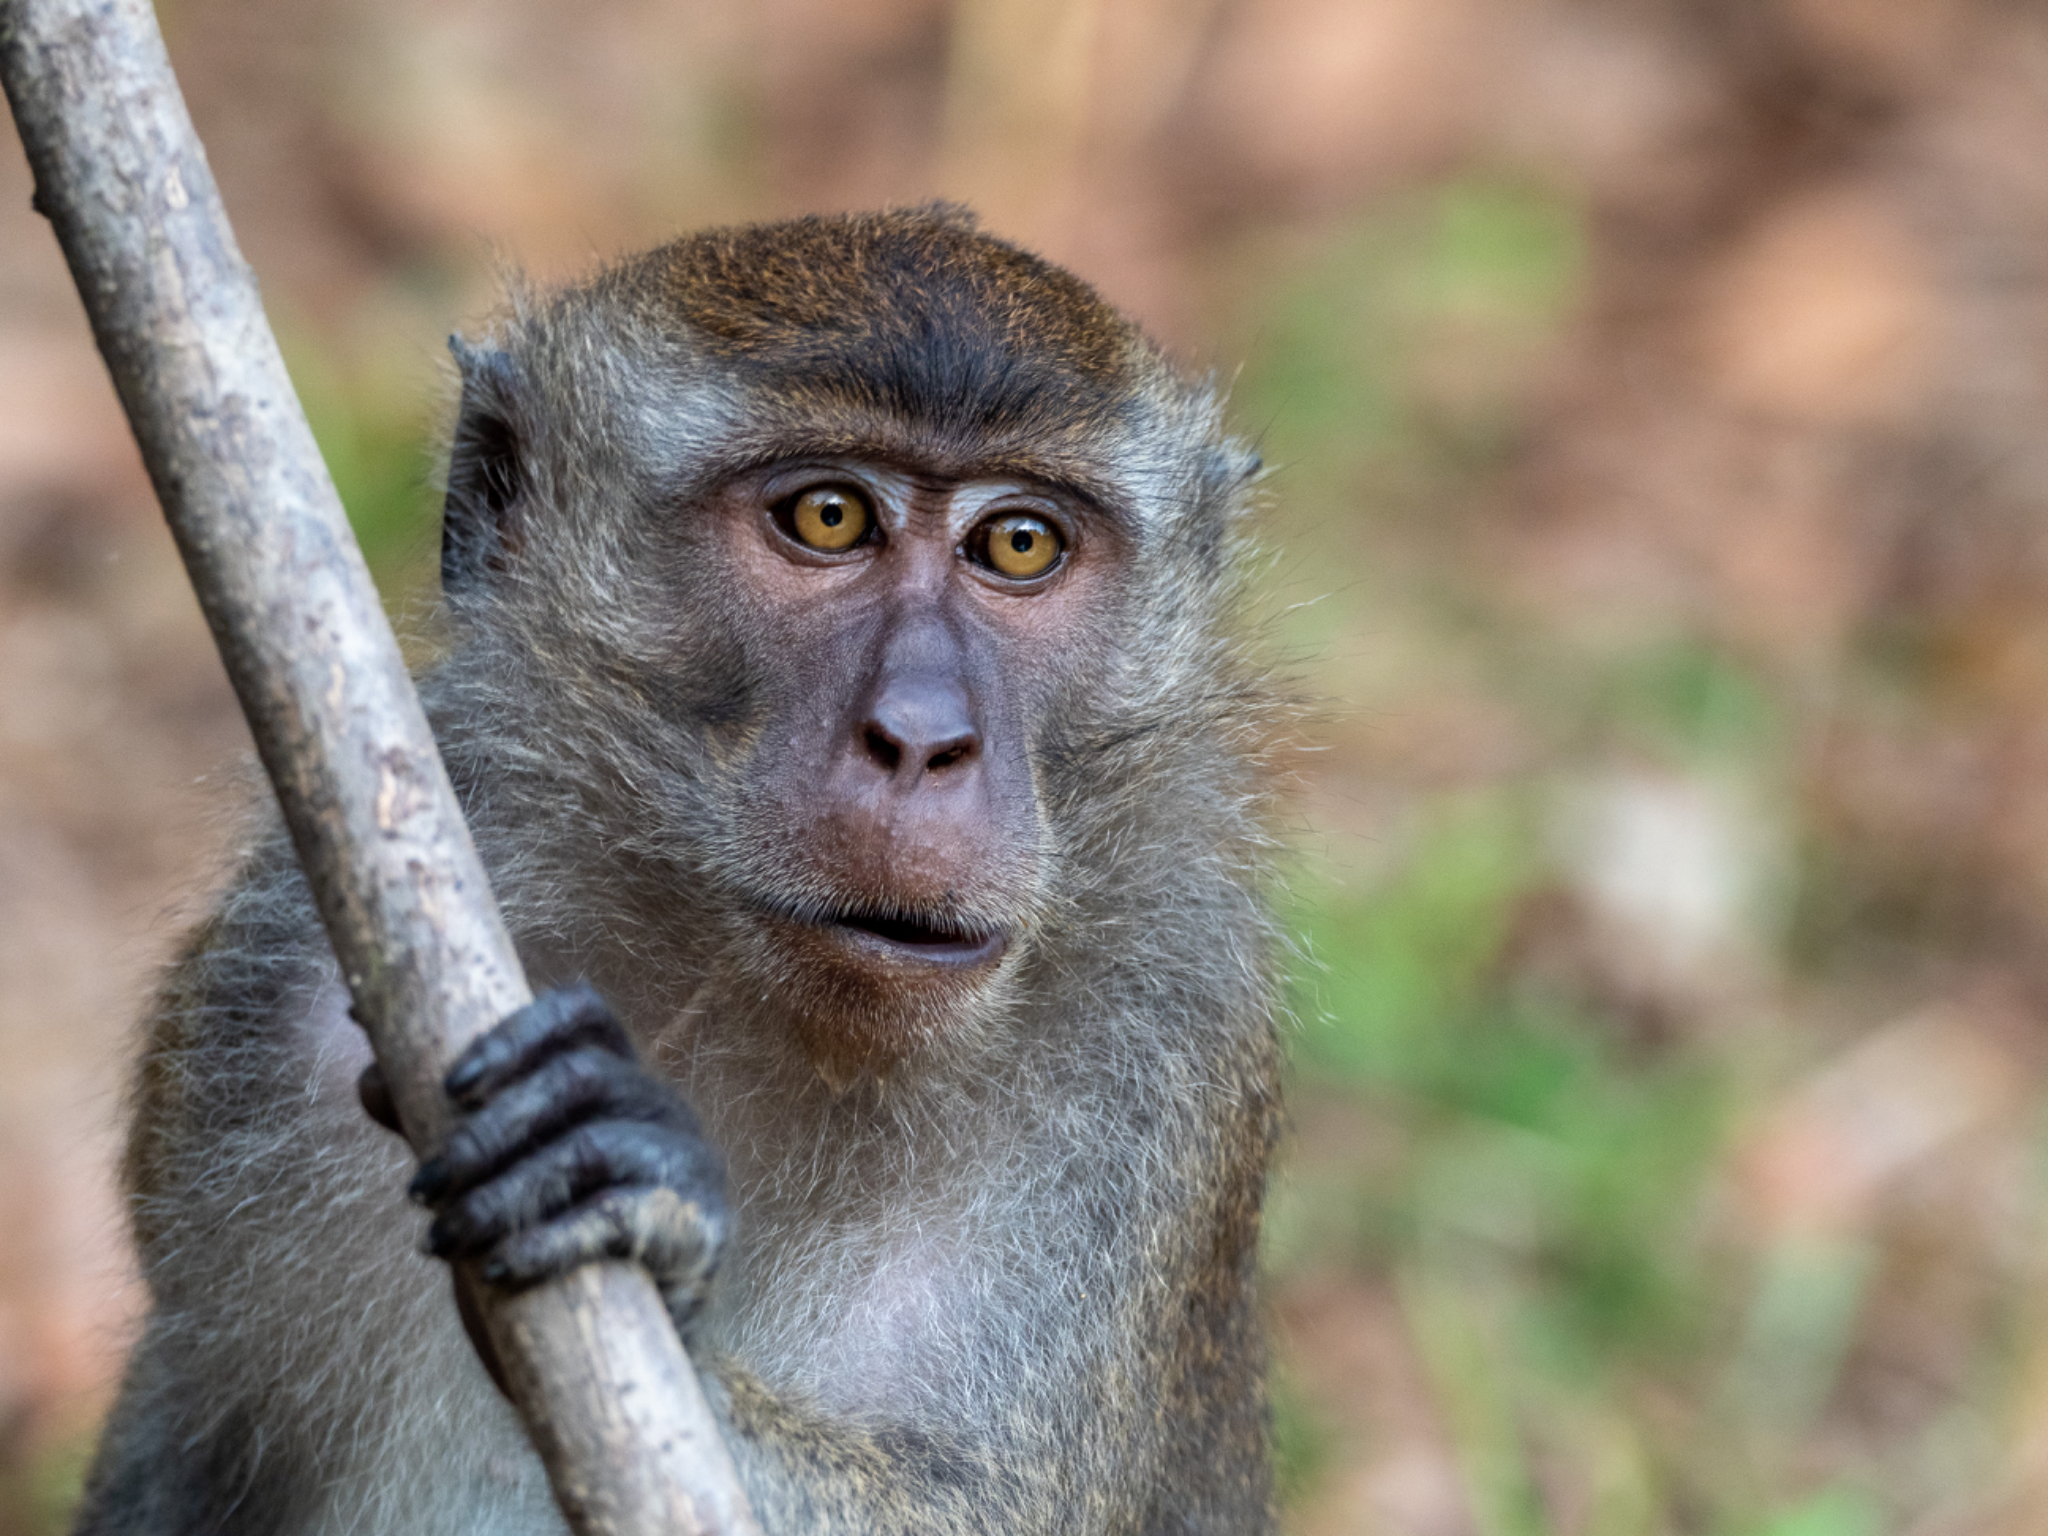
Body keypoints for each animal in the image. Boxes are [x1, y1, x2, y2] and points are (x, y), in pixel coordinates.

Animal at [68, 205, 1284, 1536]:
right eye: (827, 518)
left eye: (1018, 544)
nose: (922, 739)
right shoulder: (270, 1000)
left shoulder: (1159, 1069)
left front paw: (643, 1204)